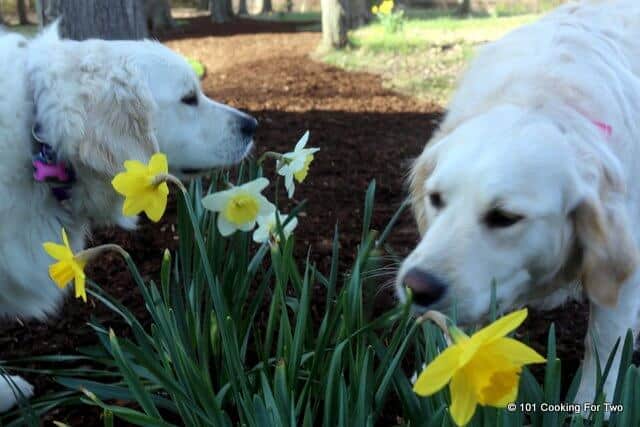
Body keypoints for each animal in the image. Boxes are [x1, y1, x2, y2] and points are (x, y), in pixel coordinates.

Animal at [398, 1, 640, 412]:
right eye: (436, 199)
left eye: (505, 217)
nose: (417, 286)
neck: (542, 96)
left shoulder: (622, 277)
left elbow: (604, 350)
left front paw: (591, 408)